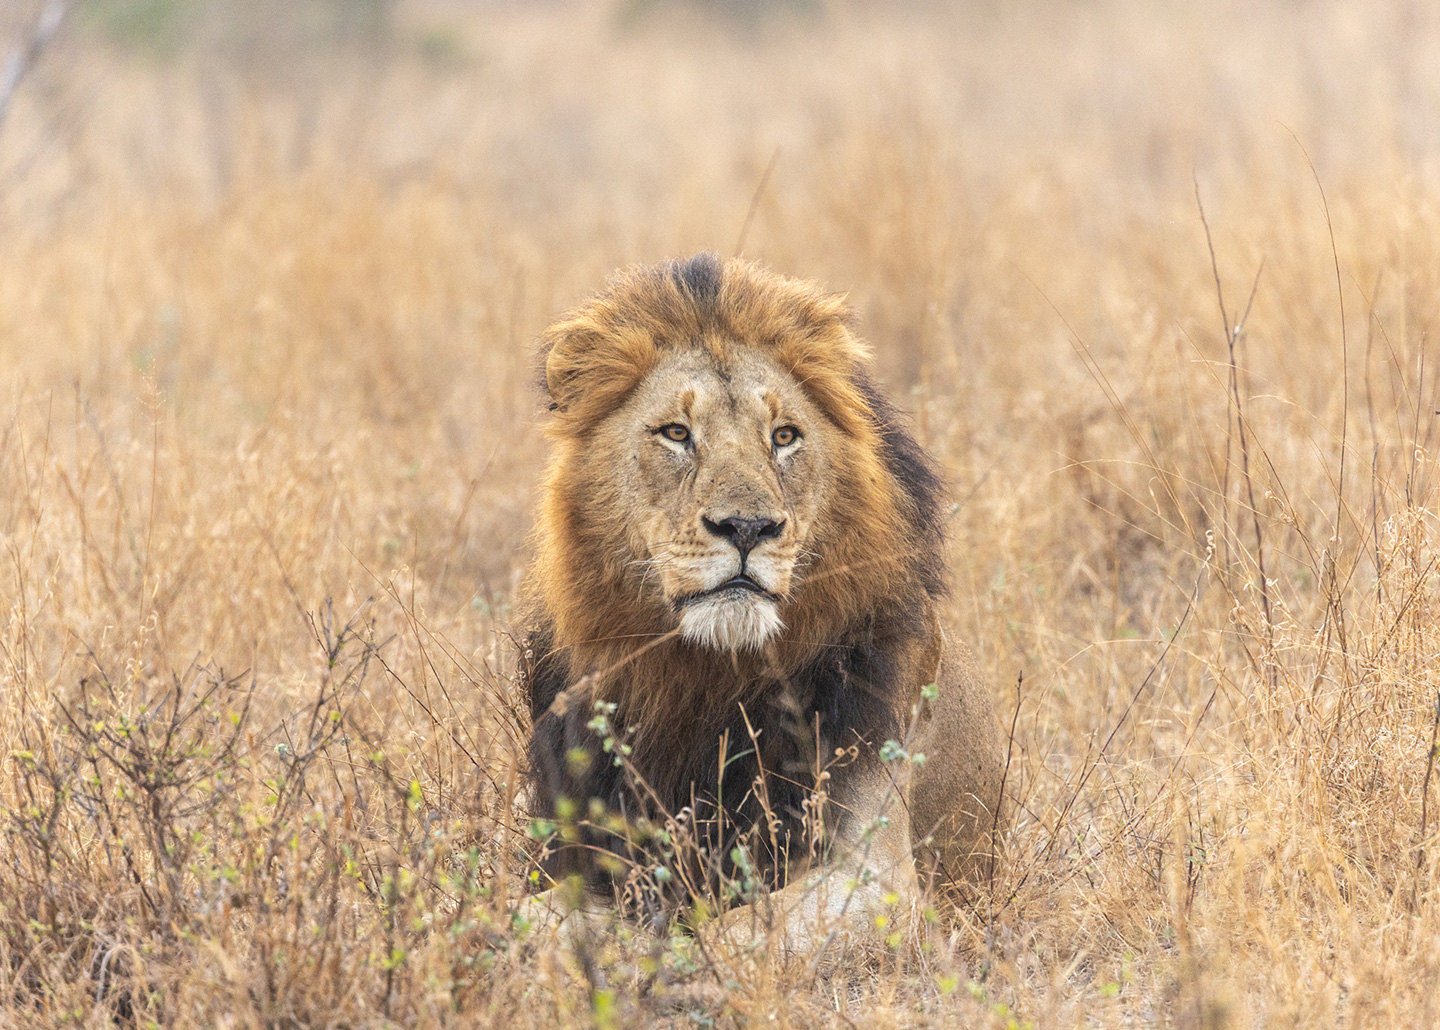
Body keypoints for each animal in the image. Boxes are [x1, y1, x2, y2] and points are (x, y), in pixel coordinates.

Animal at [515, 253, 1002, 956]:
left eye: (784, 436)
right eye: (676, 433)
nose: (747, 527)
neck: (704, 680)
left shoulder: (879, 878)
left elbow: (732, 933)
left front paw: (658, 957)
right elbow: (518, 915)